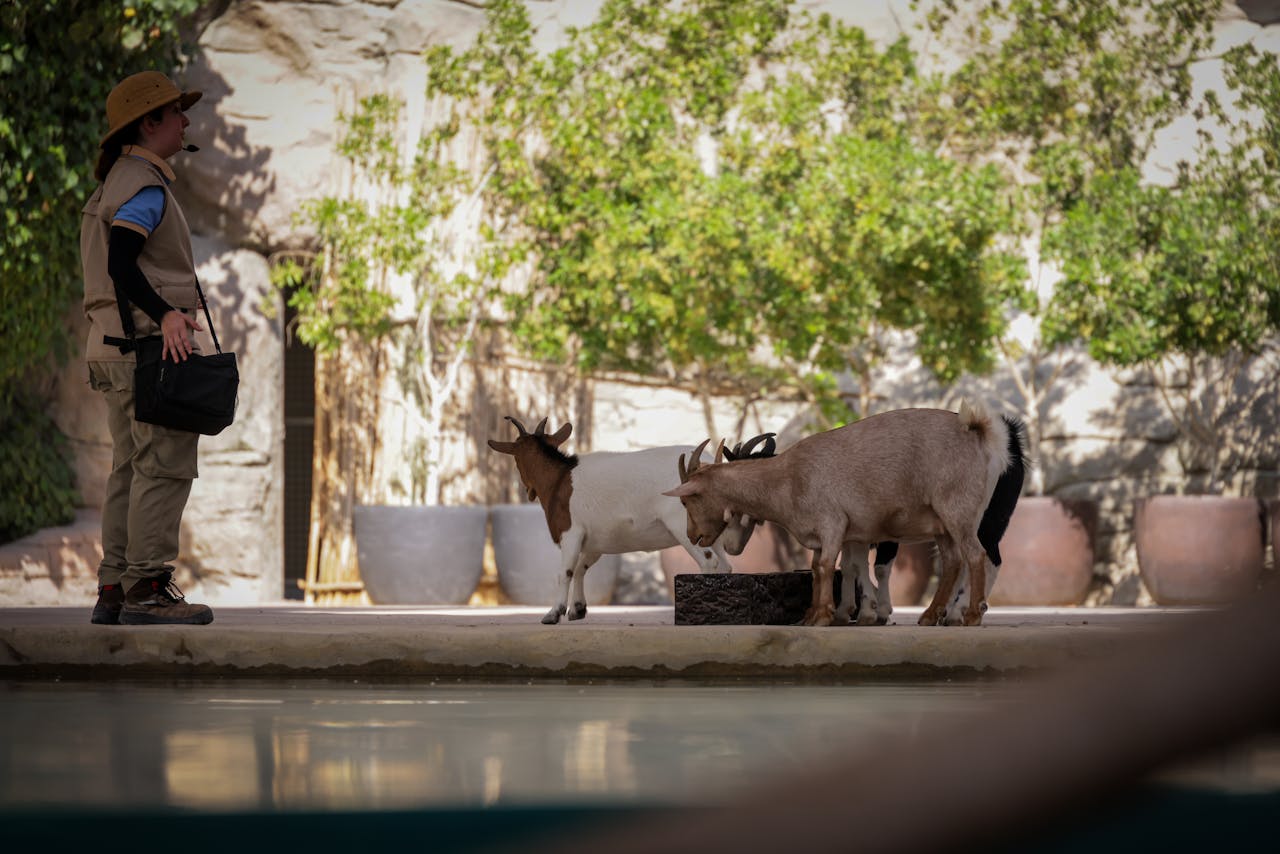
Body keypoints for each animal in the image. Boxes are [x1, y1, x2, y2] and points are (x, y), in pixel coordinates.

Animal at [487, 416, 772, 624]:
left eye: (516, 459)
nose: (528, 490)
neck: (560, 479)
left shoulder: (571, 532)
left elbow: (565, 571)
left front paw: (553, 613)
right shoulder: (595, 541)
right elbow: (581, 568)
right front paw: (577, 610)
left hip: (685, 527)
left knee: (709, 563)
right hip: (708, 530)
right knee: (725, 564)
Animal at [664, 403, 1026, 627]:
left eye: (688, 499)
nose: (695, 536)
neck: (786, 478)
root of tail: (981, 433)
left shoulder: (833, 522)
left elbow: (828, 566)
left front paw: (824, 616)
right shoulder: (826, 532)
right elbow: (817, 568)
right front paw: (816, 614)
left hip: (962, 512)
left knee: (977, 556)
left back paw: (968, 615)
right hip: (942, 524)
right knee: (952, 562)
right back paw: (930, 615)